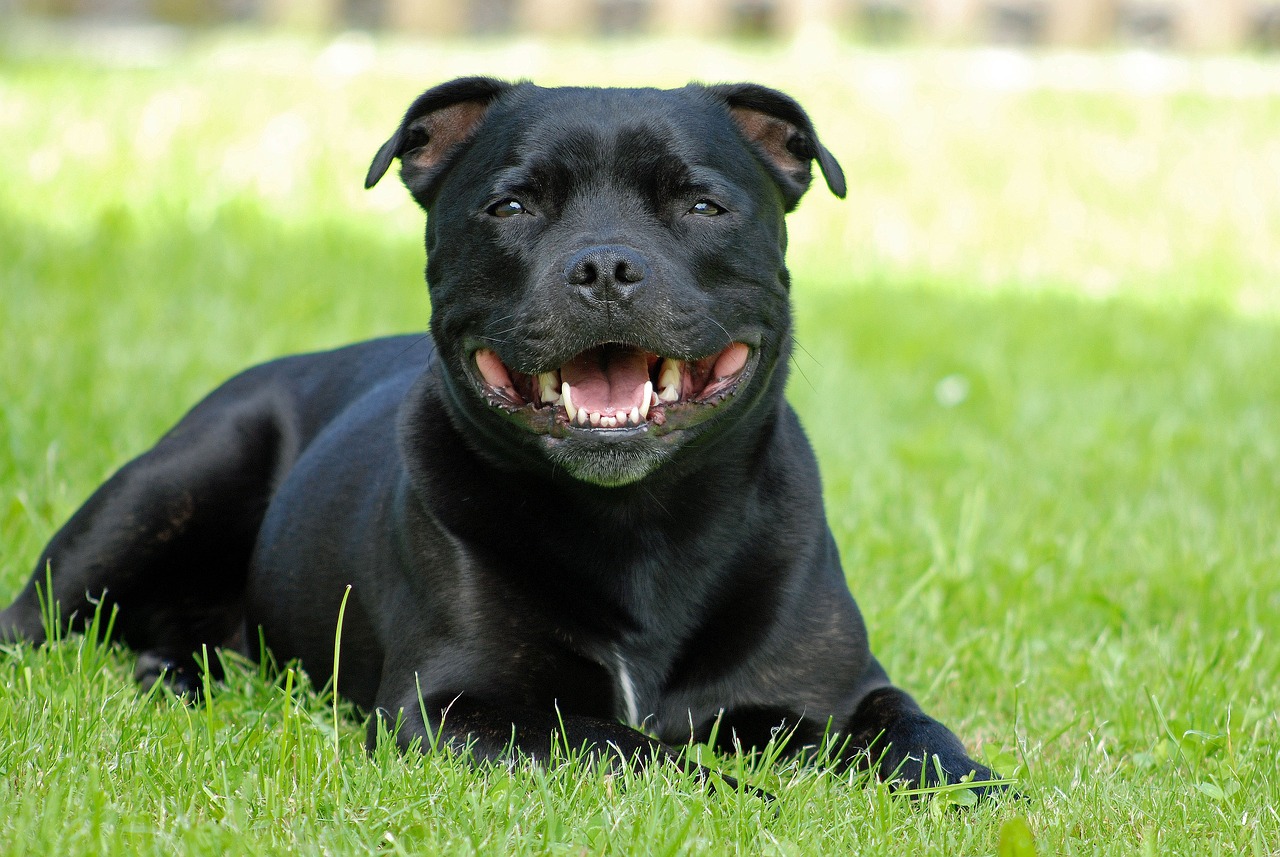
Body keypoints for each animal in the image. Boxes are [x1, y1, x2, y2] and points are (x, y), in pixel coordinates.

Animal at [0, 77, 998, 798]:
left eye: (703, 206)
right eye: (512, 206)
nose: (605, 265)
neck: (641, 523)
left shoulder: (836, 690)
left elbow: (923, 737)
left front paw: (980, 793)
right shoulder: (455, 706)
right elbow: (628, 747)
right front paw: (750, 802)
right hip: (164, 487)